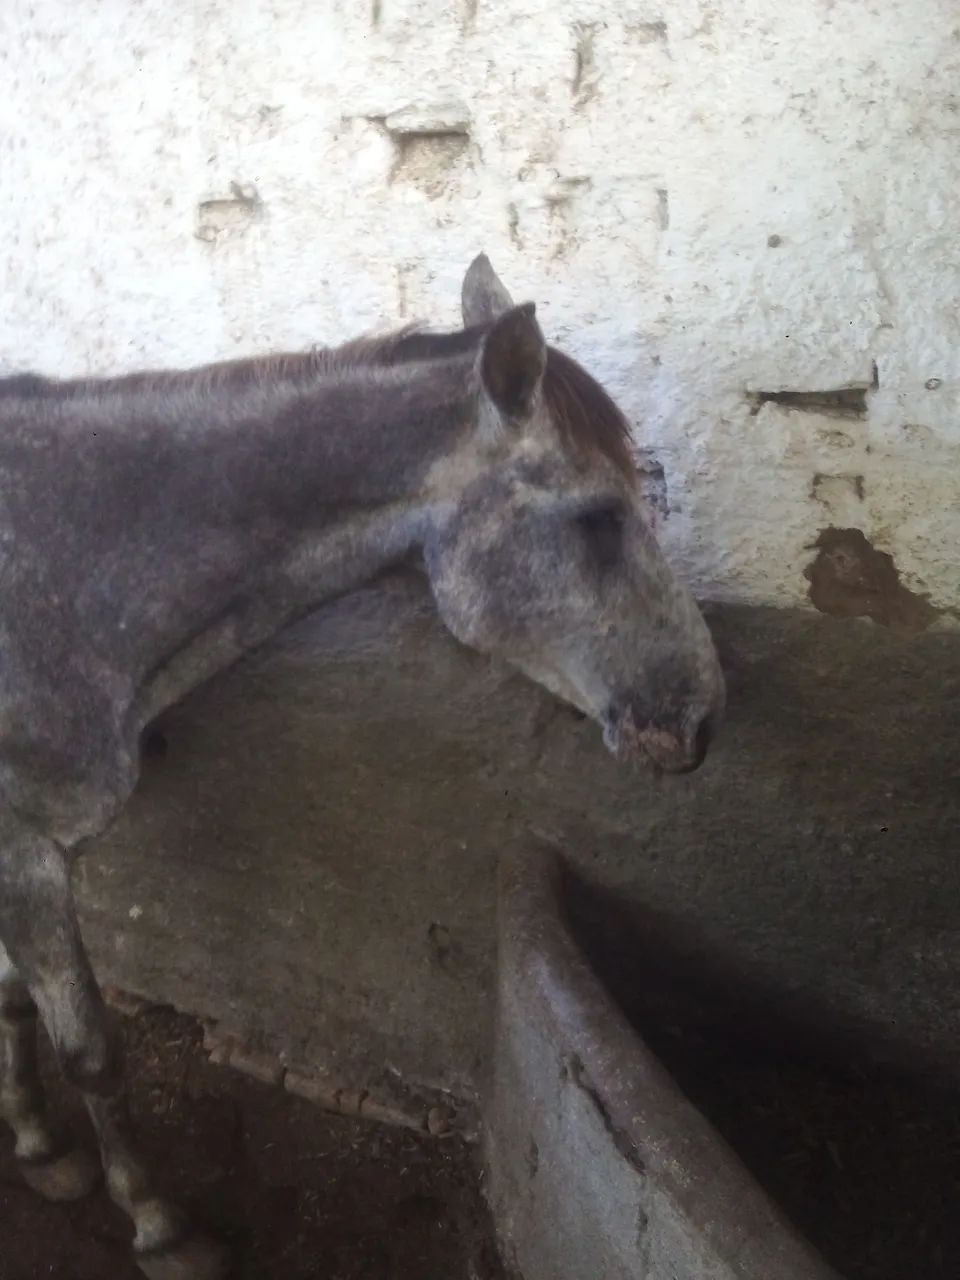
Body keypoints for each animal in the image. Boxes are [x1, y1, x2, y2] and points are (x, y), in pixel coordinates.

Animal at [0, 255, 724, 1278]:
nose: (702, 716)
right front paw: (160, 1225)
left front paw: (37, 1145)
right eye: (596, 519)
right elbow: (93, 1051)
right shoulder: (23, 851)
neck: (58, 566)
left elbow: (12, 1001)